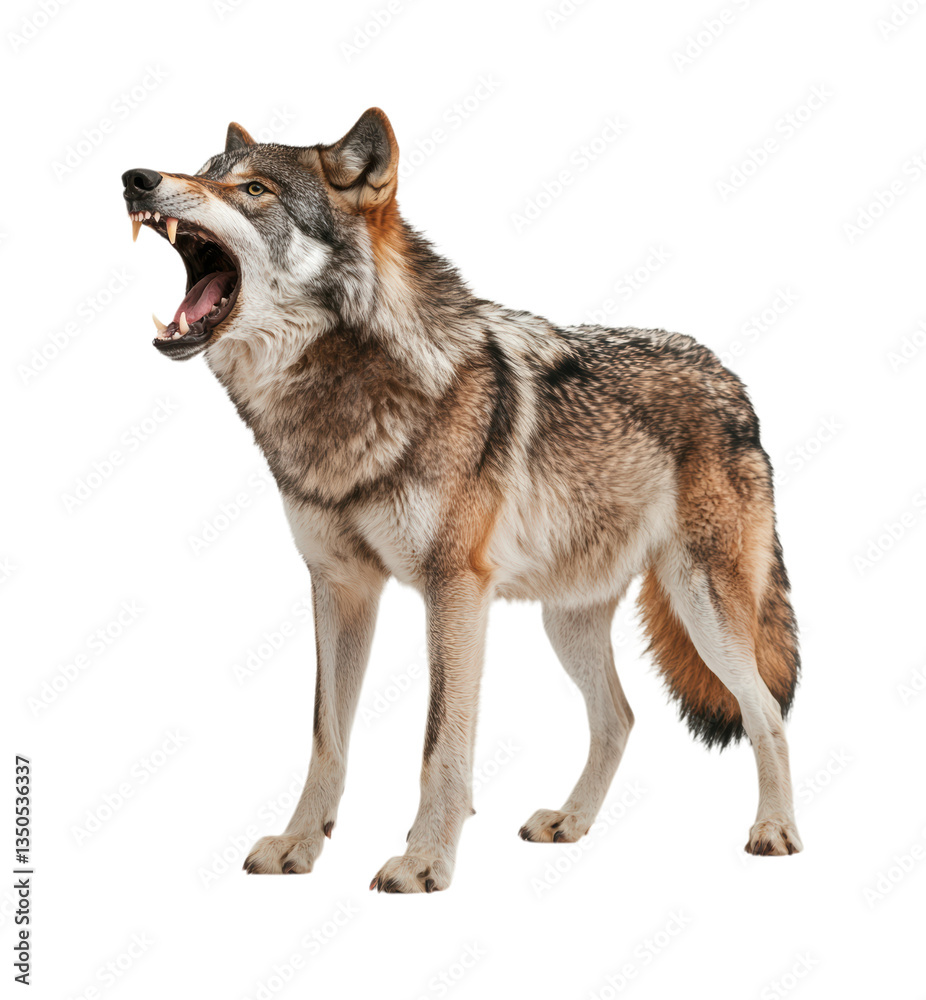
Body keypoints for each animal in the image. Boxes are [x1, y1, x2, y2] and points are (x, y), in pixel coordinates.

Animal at [121, 108, 802, 892]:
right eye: (204, 171)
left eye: (254, 189)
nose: (136, 179)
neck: (340, 401)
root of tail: (731, 379)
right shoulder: (340, 587)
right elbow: (327, 737)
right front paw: (300, 845)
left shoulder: (453, 592)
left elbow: (438, 743)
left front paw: (424, 861)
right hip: (567, 623)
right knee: (620, 718)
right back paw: (571, 822)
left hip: (704, 608)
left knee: (765, 711)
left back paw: (776, 830)